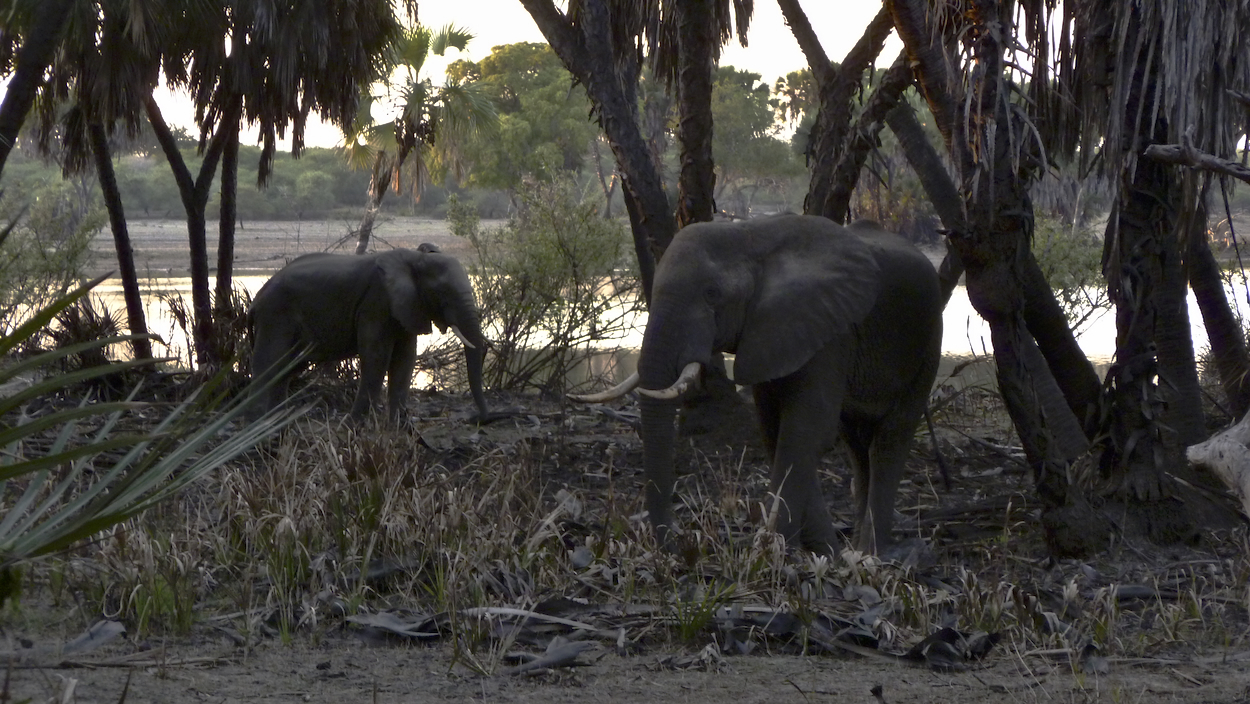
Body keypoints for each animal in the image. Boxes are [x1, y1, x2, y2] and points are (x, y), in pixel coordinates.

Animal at [248, 247, 487, 425]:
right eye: (443, 294)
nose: (482, 418)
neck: (416, 259)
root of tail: (257, 298)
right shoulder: (377, 301)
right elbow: (377, 356)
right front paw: (352, 424)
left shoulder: (407, 305)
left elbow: (405, 357)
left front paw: (399, 427)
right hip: (275, 314)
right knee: (269, 362)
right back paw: (257, 422)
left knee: (287, 369)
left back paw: (277, 420)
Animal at [572, 215, 940, 557]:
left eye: (713, 294)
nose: (674, 548)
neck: (751, 234)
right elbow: (775, 429)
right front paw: (820, 550)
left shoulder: (833, 331)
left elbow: (807, 429)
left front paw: (776, 550)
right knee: (857, 445)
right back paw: (857, 552)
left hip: (927, 340)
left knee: (889, 440)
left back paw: (870, 553)